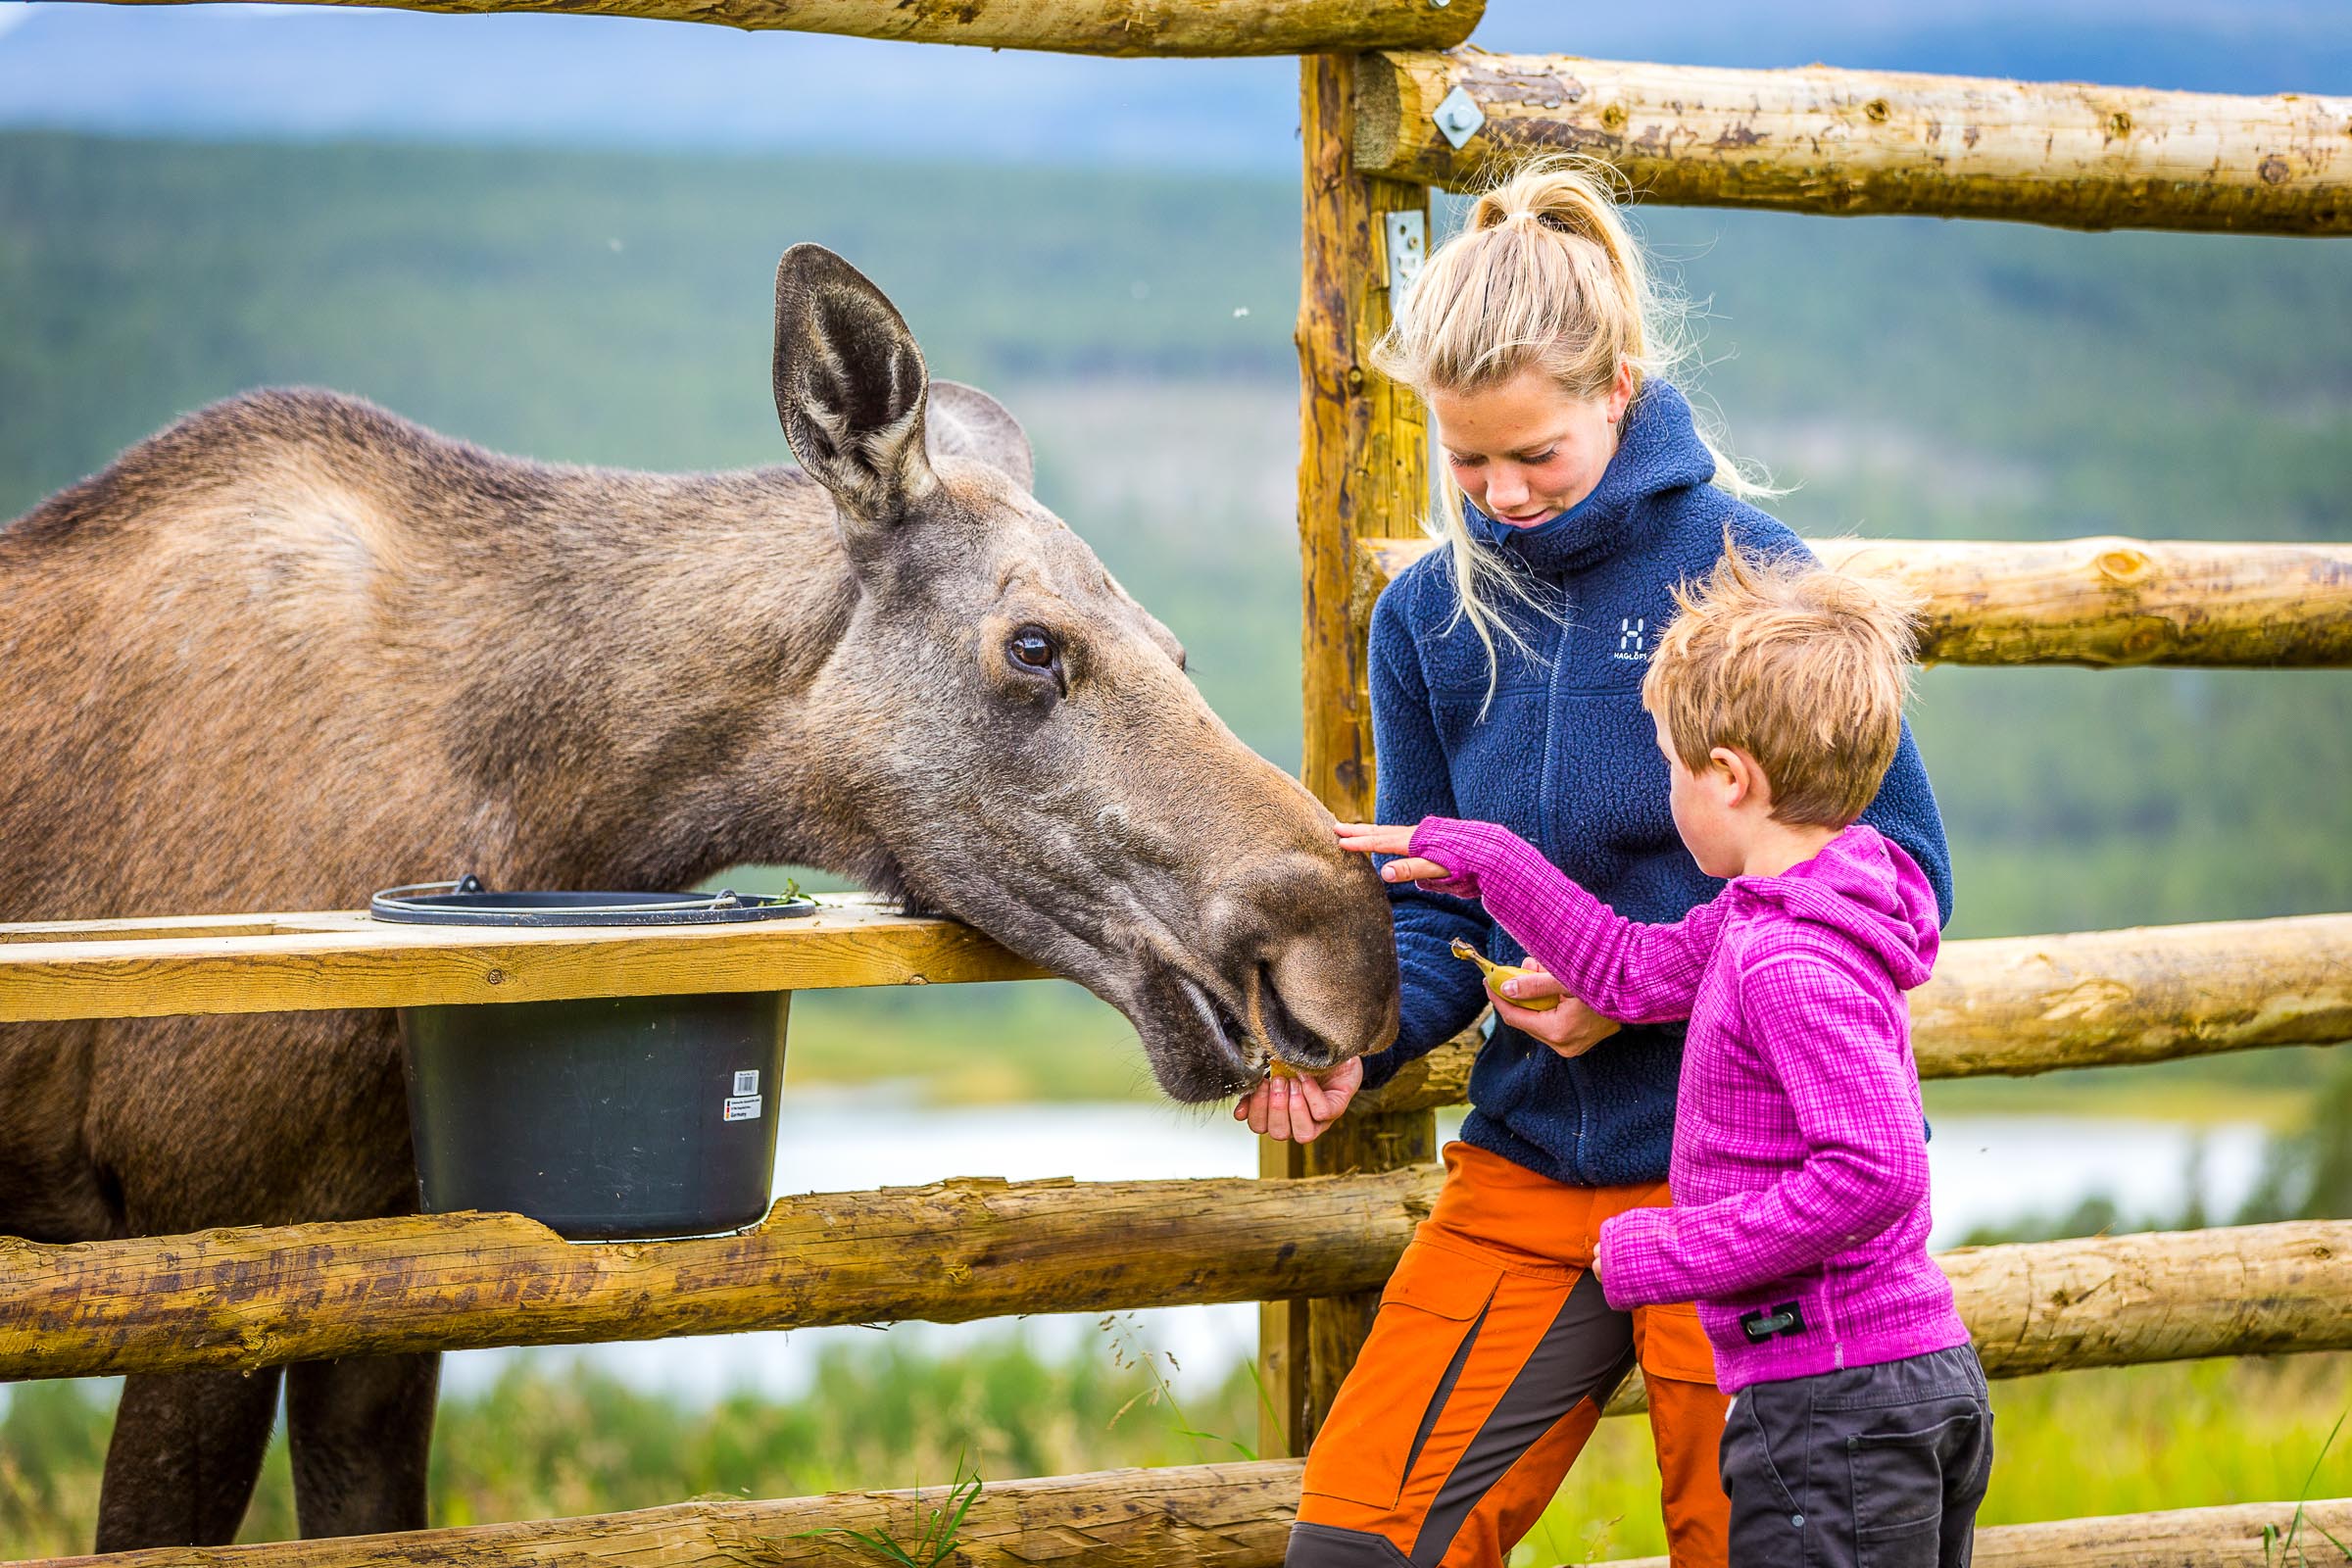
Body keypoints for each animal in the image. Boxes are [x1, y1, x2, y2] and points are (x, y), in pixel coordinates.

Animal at [0, 245, 1392, 1542]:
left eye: (1177, 646)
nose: (1346, 953)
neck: (550, 801)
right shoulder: (204, 1243)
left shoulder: (386, 1257)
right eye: (1035, 645)